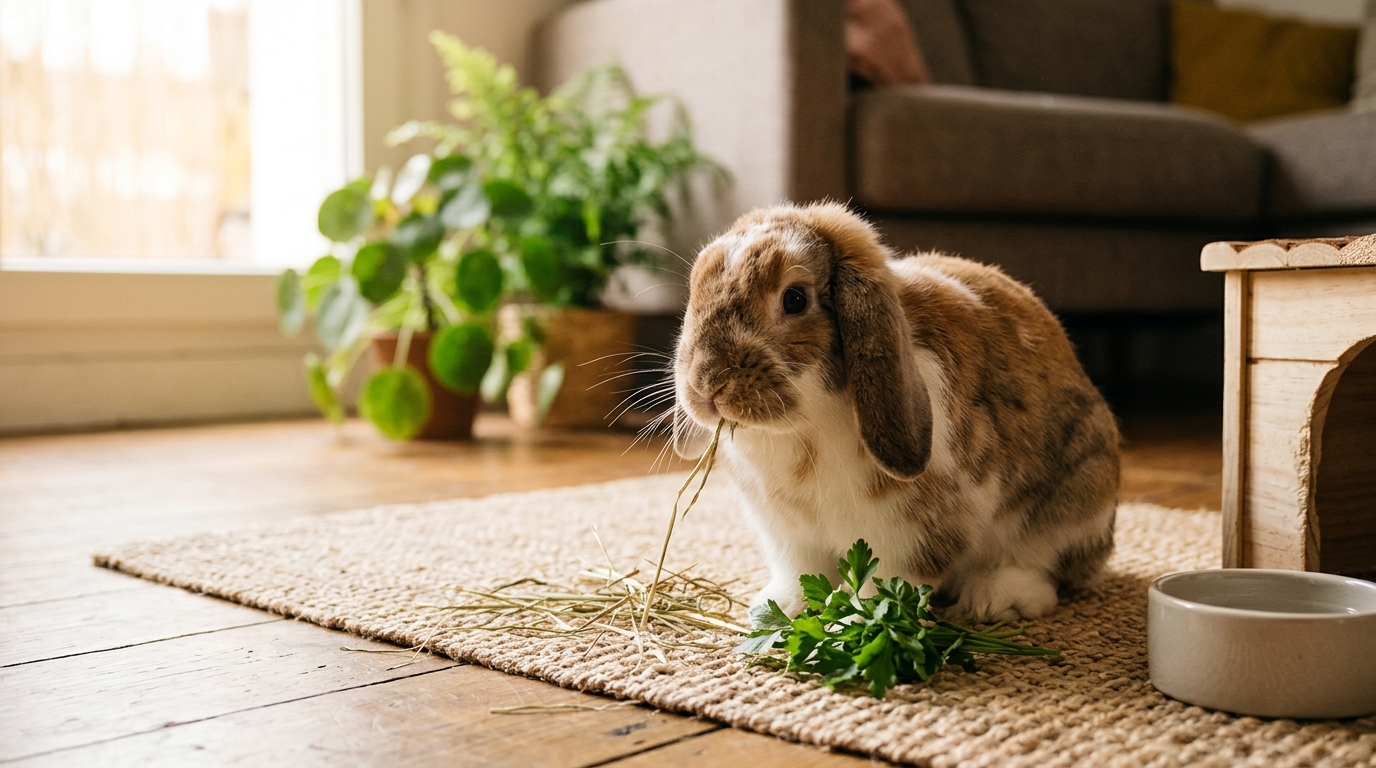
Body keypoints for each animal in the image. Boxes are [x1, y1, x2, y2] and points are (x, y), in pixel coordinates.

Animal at [671, 202, 1120, 623]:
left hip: (1075, 497)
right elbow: (798, 574)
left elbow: (888, 580)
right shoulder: (788, 534)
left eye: (795, 299)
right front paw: (777, 609)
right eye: (696, 289)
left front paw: (856, 621)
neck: (804, 430)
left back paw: (993, 598)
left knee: (1044, 566)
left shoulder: (908, 532)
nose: (707, 384)